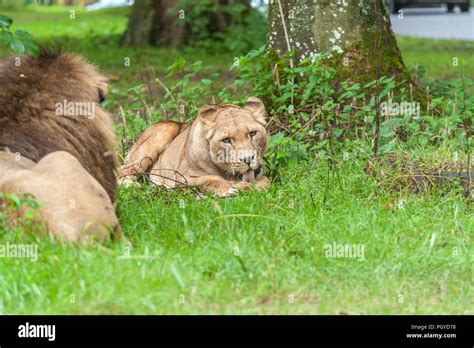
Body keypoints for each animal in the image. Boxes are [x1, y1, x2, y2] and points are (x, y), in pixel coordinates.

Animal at [120, 97, 270, 196]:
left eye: (252, 133)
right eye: (226, 140)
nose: (248, 159)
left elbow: (265, 182)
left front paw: (245, 186)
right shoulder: (181, 178)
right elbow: (208, 179)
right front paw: (229, 188)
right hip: (162, 133)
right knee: (123, 172)